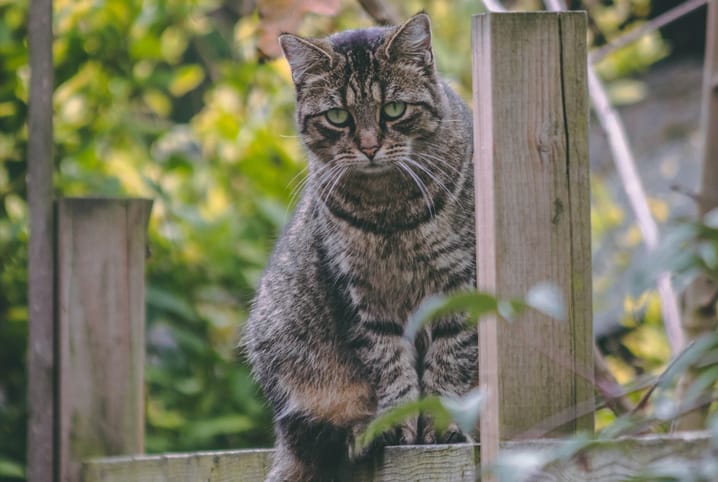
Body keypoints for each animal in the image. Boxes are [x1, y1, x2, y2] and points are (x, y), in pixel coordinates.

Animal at [246, 13, 478, 480]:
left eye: (394, 109)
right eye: (338, 116)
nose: (369, 146)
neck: (390, 212)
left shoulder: (460, 280)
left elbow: (451, 354)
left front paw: (442, 425)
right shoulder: (360, 296)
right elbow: (389, 366)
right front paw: (397, 426)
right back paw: (360, 432)